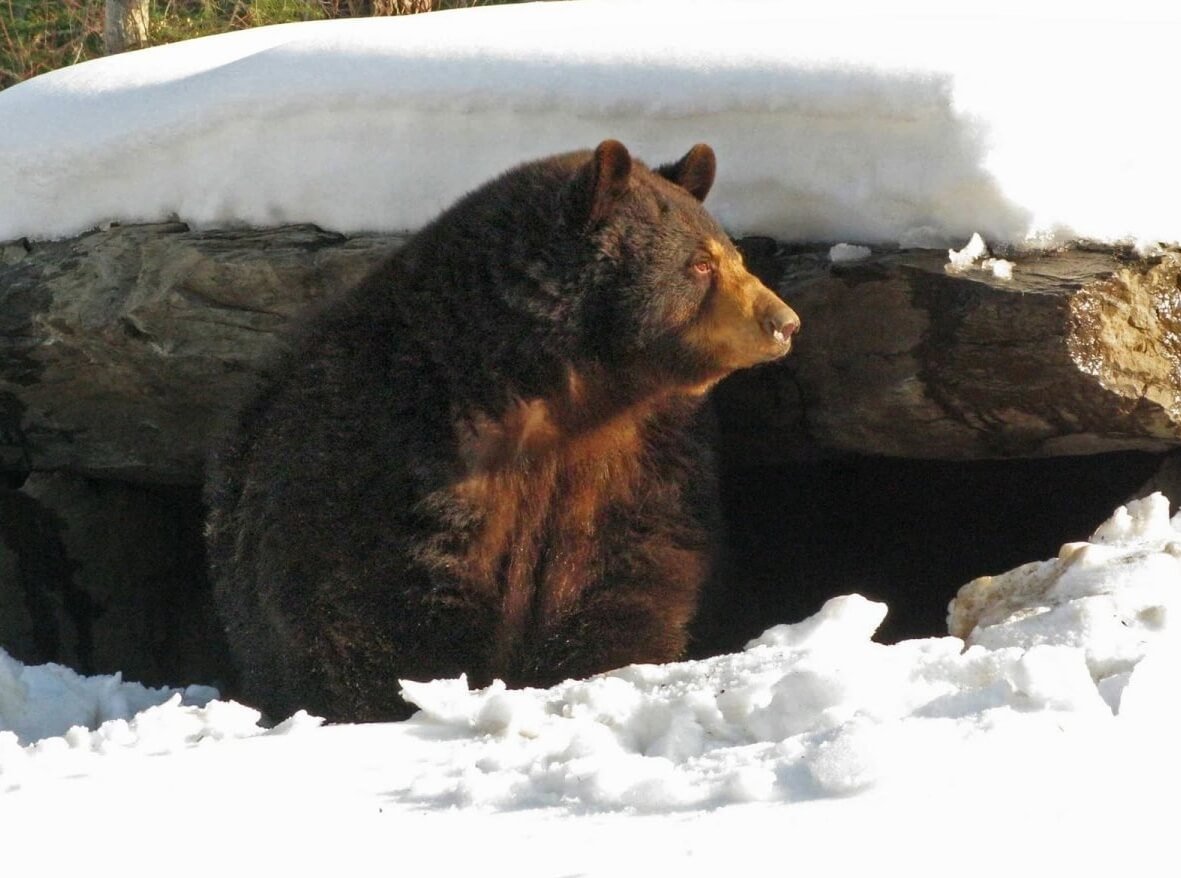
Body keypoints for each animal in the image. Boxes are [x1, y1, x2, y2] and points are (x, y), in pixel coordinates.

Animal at [205, 140, 803, 723]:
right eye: (700, 264)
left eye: (733, 255)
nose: (784, 322)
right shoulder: (398, 441)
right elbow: (366, 595)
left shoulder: (644, 453)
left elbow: (635, 565)